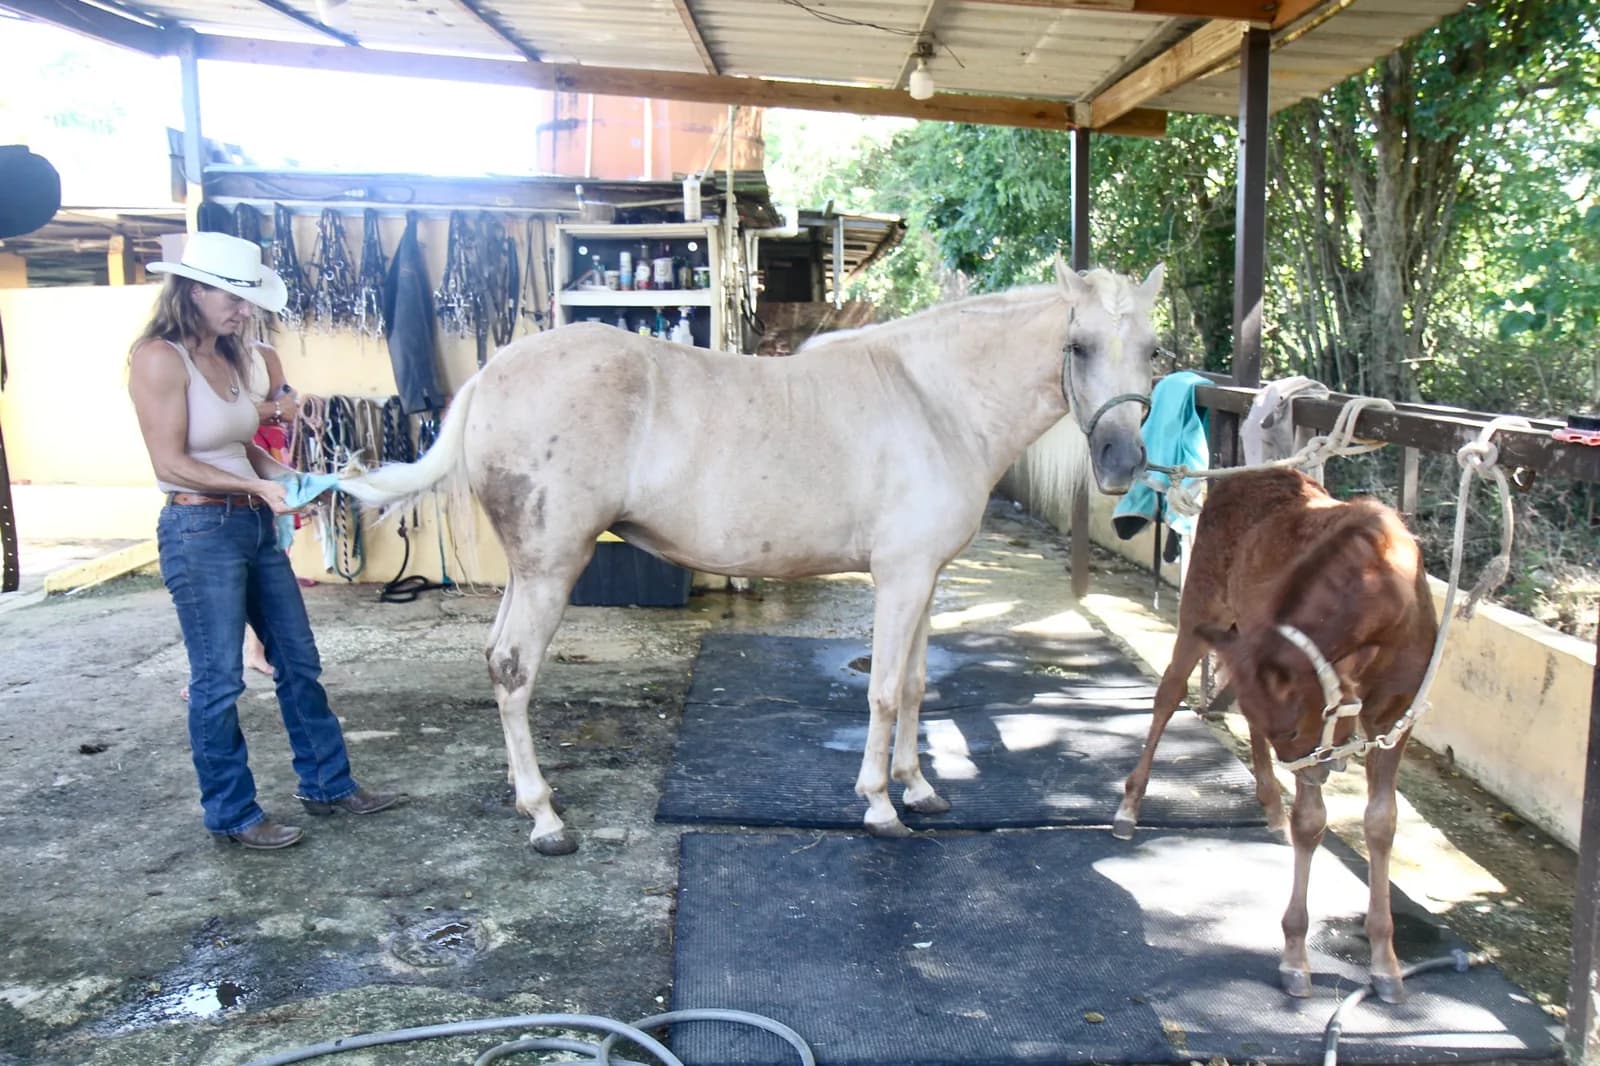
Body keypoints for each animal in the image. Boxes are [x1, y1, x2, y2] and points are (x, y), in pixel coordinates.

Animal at [342, 257, 1164, 855]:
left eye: (1153, 349)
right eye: (1078, 347)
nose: (1123, 462)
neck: (935, 400)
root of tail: (489, 376)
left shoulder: (926, 579)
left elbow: (917, 685)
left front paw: (919, 787)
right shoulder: (898, 579)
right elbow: (883, 691)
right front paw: (879, 805)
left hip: (529, 569)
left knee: (495, 661)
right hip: (552, 568)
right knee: (514, 671)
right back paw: (545, 819)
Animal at [1111, 466, 1438, 1003]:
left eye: (1294, 726)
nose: (1325, 766)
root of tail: (1238, 477)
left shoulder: (1395, 718)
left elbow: (1381, 823)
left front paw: (1386, 964)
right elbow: (1312, 822)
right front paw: (1295, 956)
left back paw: (1270, 807)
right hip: (1203, 607)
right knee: (1168, 694)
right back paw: (1130, 807)